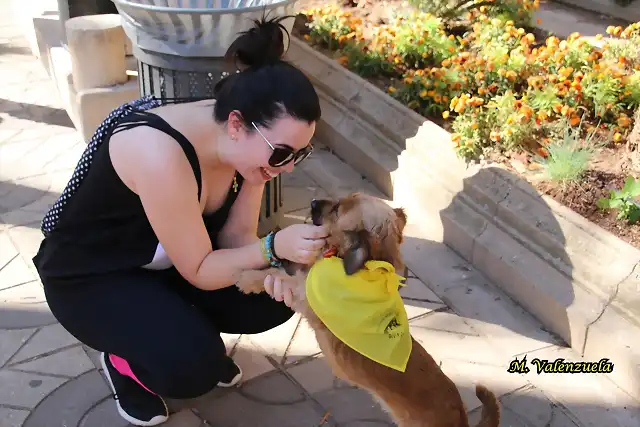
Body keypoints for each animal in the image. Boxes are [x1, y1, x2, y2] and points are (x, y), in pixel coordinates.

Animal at [235, 194, 500, 427]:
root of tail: (461, 419)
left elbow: (278, 276)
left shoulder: (305, 296)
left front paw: (246, 277)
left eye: (337, 210)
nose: (313, 201)